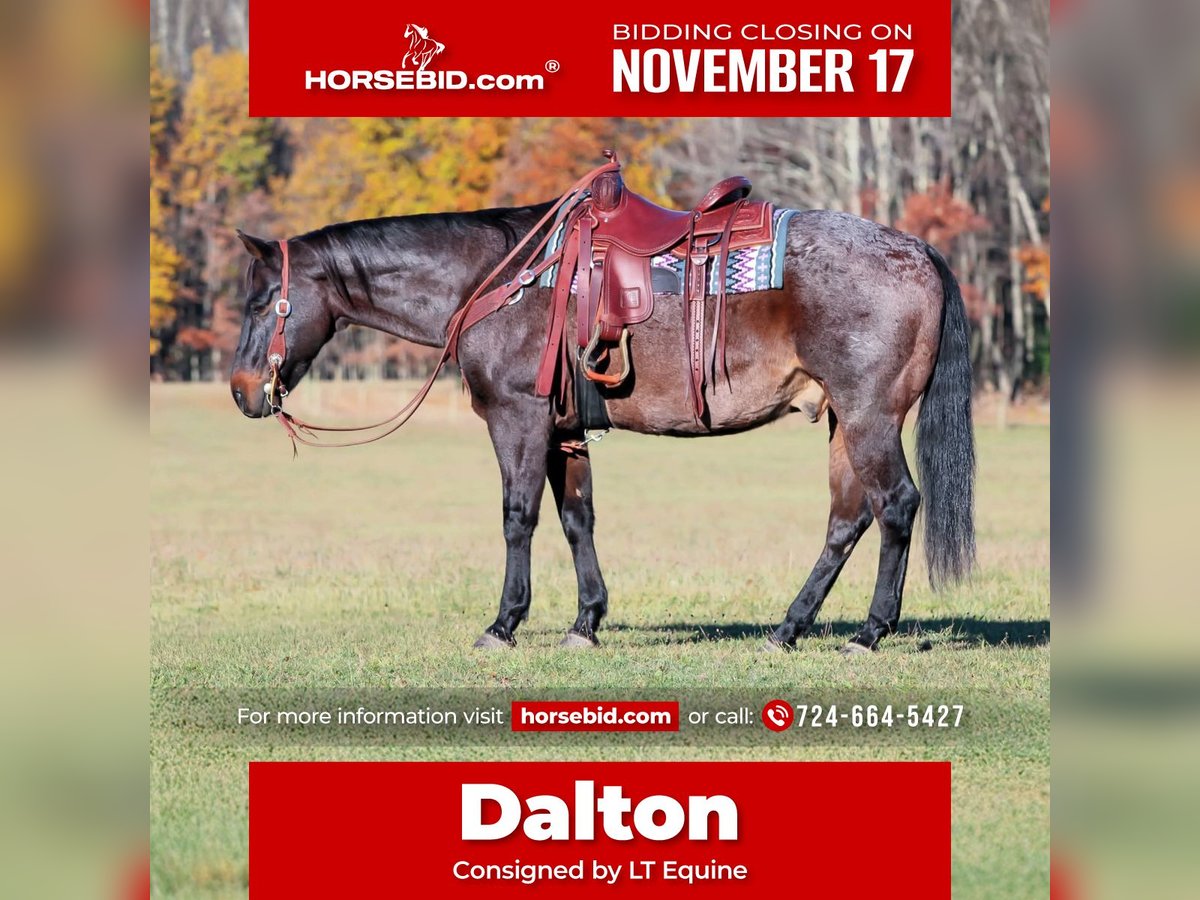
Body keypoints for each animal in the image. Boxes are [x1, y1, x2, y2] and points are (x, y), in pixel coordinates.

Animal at [229, 186, 975, 655]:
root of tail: (917, 250)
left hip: (869, 416)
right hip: (842, 421)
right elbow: (576, 517)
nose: (241, 391)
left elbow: (519, 516)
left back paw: (869, 632)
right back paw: (789, 628)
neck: (499, 278)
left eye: (263, 302)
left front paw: (504, 623)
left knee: (895, 505)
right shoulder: (564, 431)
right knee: (847, 520)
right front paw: (586, 621)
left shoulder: (518, 418)